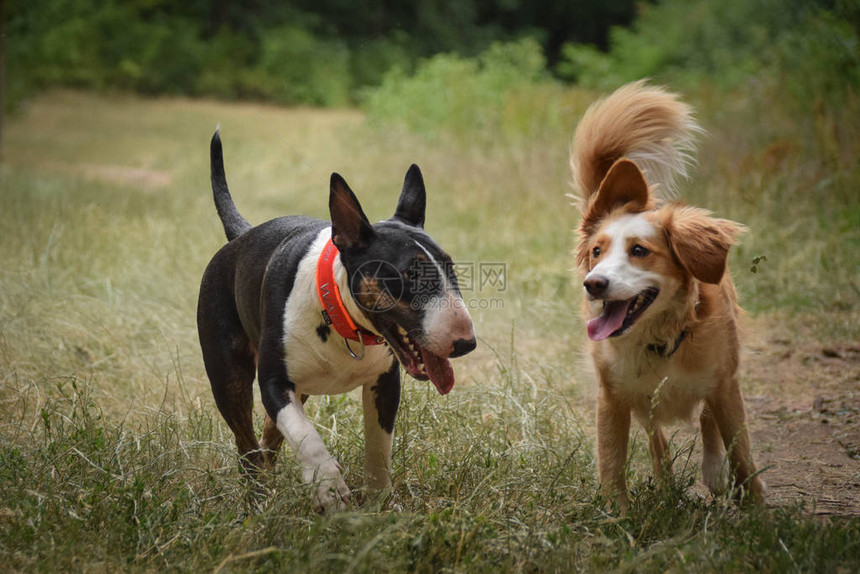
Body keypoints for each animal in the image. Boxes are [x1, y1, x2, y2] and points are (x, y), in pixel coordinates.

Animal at [576, 80, 764, 512]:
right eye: (597, 251)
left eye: (639, 250)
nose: (593, 283)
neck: (661, 338)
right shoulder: (613, 396)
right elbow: (612, 460)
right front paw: (617, 514)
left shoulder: (725, 384)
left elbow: (741, 451)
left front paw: (759, 510)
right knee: (656, 438)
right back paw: (666, 483)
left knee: (708, 423)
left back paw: (714, 473)